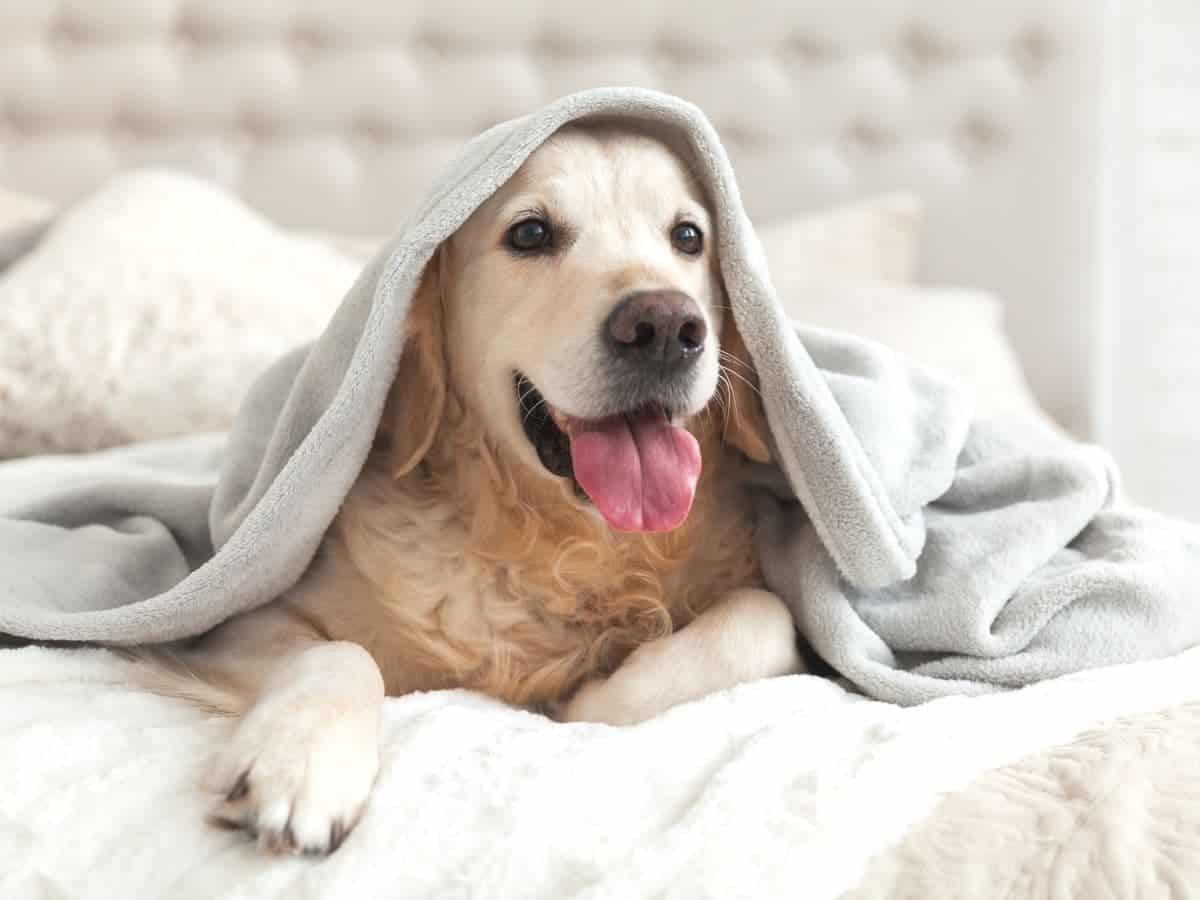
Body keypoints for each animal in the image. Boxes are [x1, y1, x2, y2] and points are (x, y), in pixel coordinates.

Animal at [142, 123, 806, 854]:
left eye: (688, 237)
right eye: (531, 233)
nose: (664, 327)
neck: (560, 546)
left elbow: (765, 617)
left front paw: (595, 696)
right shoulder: (230, 626)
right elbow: (340, 651)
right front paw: (299, 762)